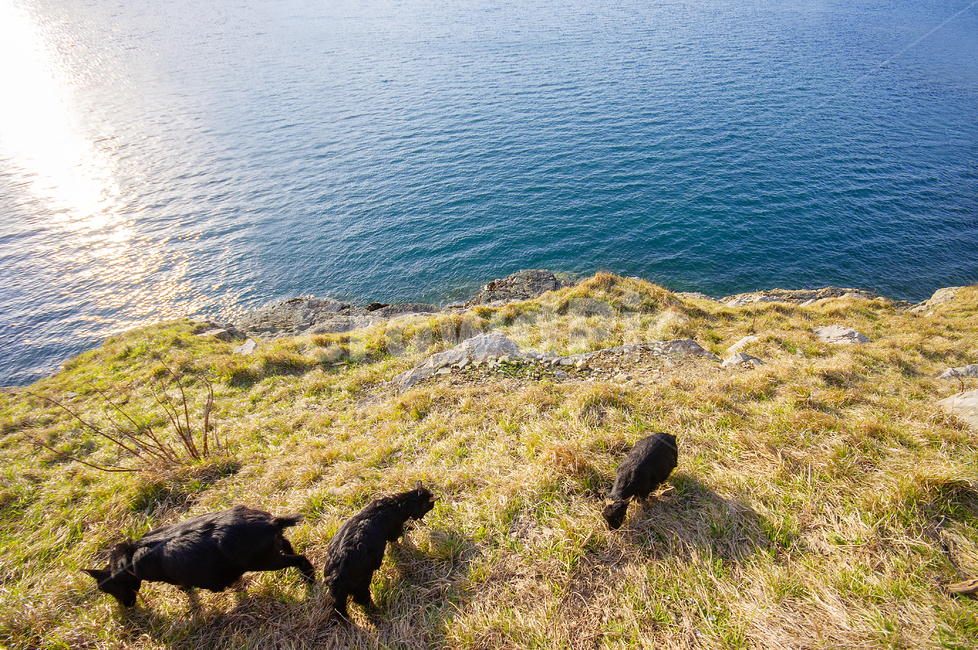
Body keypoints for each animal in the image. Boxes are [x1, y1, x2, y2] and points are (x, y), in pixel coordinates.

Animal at [84, 505, 315, 607]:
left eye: (104, 588)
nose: (126, 607)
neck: (129, 560)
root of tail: (273, 522)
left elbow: (183, 585)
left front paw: (183, 591)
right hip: (274, 547)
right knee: (289, 546)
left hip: (263, 561)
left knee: (300, 558)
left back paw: (309, 579)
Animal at [323, 482, 437, 619]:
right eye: (430, 507)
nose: (419, 519)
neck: (397, 505)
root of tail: (335, 577)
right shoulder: (394, 529)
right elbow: (399, 534)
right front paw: (408, 529)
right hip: (363, 579)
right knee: (360, 598)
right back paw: (376, 609)